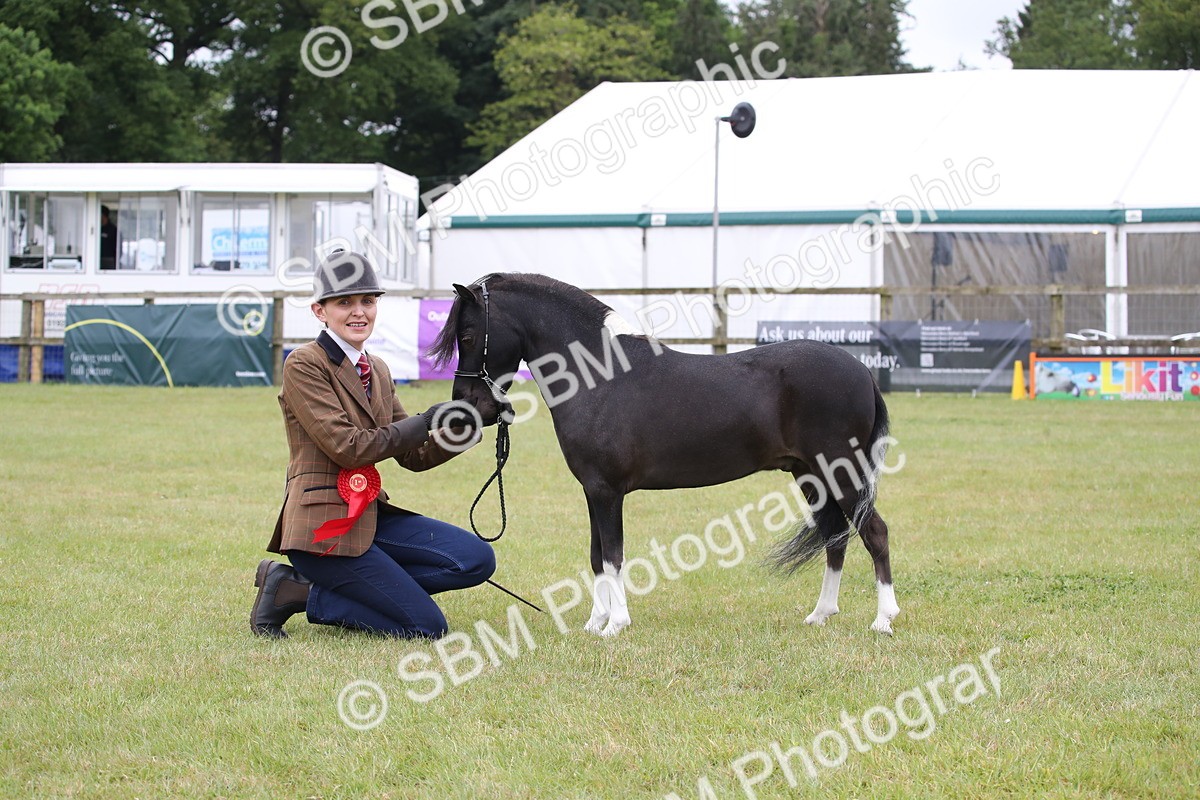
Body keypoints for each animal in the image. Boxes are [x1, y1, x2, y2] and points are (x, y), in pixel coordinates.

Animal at [428, 273, 900, 636]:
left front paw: (615, 625)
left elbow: (614, 555)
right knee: (835, 536)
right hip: (812, 475)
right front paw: (594, 623)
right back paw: (821, 614)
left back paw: (883, 620)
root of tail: (862, 371)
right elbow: (597, 557)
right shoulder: (592, 491)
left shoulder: (606, 491)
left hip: (841, 472)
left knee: (874, 533)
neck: (599, 375)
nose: (466, 405)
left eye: (468, 335)